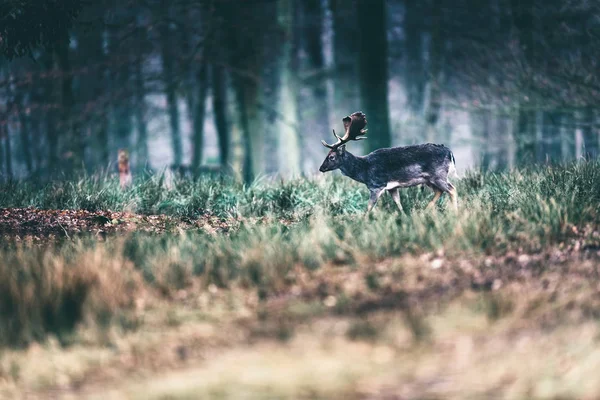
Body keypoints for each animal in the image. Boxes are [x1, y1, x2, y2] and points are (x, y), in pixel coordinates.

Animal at [322, 111, 458, 217]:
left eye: (332, 157)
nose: (321, 168)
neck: (364, 171)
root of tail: (449, 152)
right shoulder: (392, 187)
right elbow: (398, 203)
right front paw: (404, 216)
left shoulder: (377, 185)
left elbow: (369, 208)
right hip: (429, 179)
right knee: (439, 191)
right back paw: (425, 211)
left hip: (438, 174)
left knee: (452, 189)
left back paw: (454, 213)